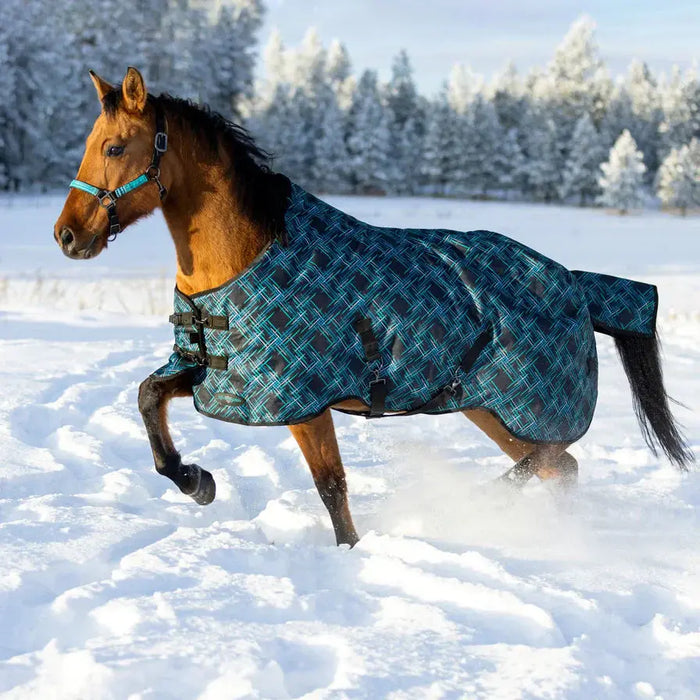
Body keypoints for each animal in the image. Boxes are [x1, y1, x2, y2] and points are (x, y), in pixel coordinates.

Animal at [54, 67, 693, 547]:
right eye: (87, 145)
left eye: (114, 146)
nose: (66, 235)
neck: (245, 255)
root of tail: (574, 282)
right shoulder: (220, 378)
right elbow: (148, 398)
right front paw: (198, 481)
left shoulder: (303, 401)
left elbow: (332, 486)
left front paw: (349, 554)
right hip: (491, 409)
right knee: (562, 468)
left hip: (516, 408)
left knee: (553, 461)